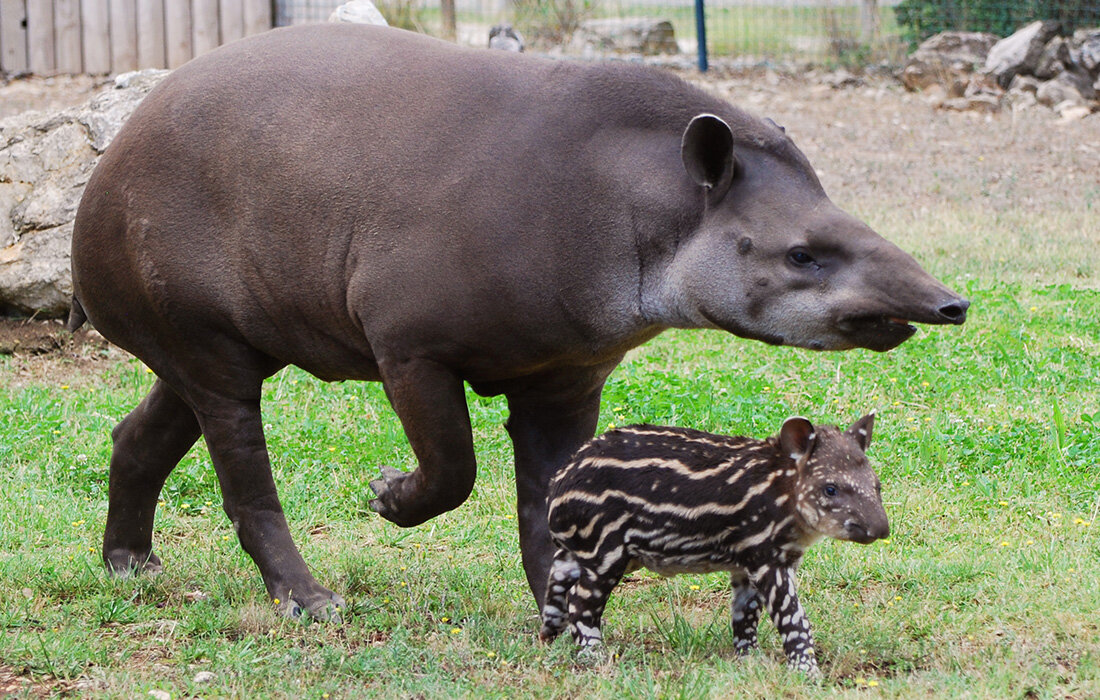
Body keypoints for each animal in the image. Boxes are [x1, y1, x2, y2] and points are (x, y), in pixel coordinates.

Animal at [543, 413, 893, 673]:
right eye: (830, 489)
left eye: (877, 485)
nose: (881, 529)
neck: (782, 489)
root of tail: (557, 485)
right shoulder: (765, 555)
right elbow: (792, 616)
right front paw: (807, 671)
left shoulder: (747, 563)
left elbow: (745, 614)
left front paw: (749, 659)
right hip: (605, 547)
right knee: (580, 599)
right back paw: (594, 655)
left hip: (580, 548)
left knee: (557, 579)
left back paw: (551, 639)